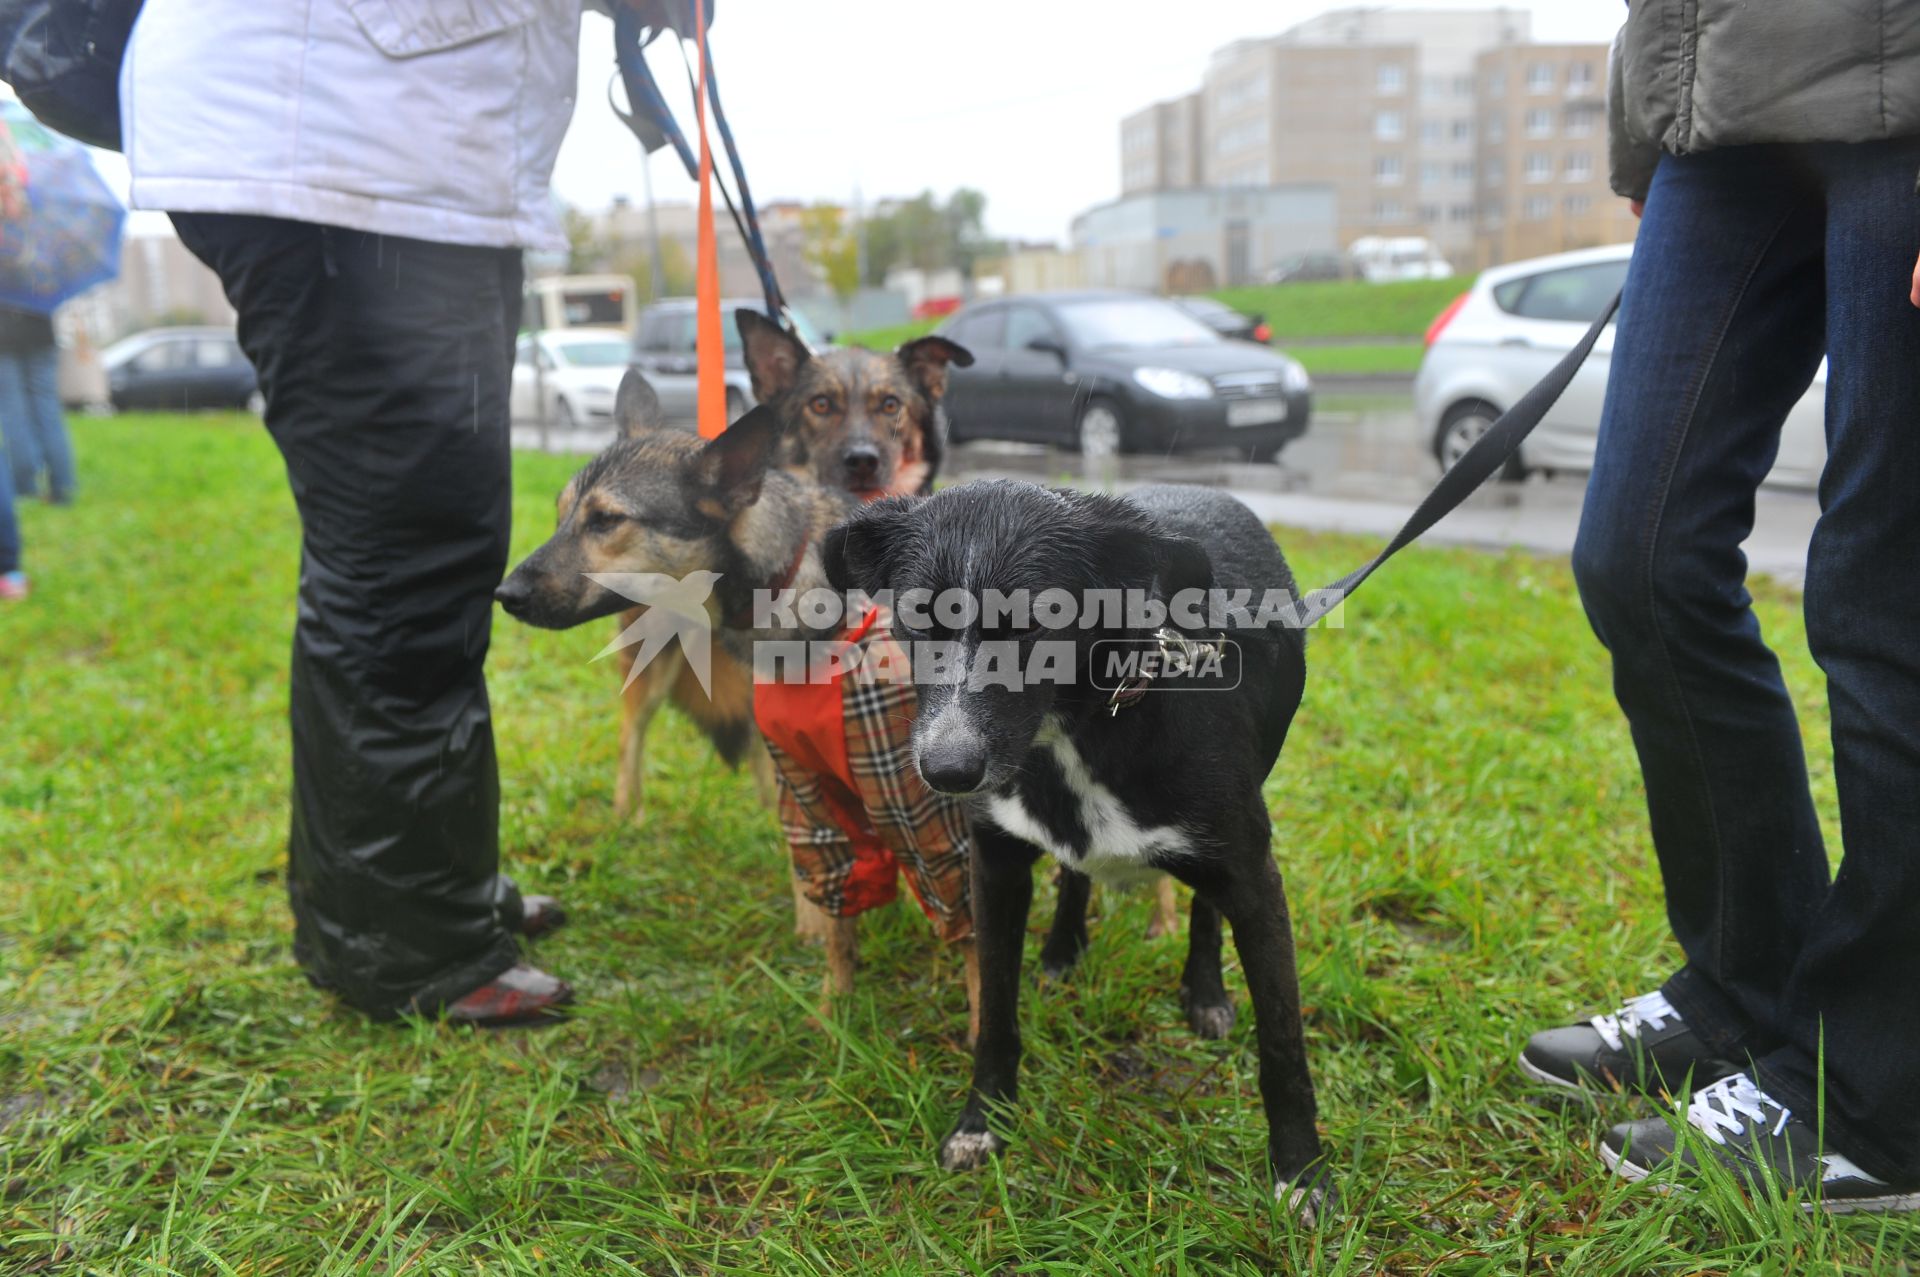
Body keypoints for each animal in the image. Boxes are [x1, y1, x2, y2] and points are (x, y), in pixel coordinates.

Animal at [825, 478, 1336, 1213]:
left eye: (1038, 623)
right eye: (918, 620)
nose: (948, 770)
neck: (1074, 730)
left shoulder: (1252, 876)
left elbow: (1283, 1046)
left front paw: (1302, 1172)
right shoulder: (996, 866)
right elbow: (995, 1016)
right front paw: (983, 1121)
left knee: (1203, 907)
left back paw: (1204, 989)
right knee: (1075, 870)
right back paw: (1064, 948)